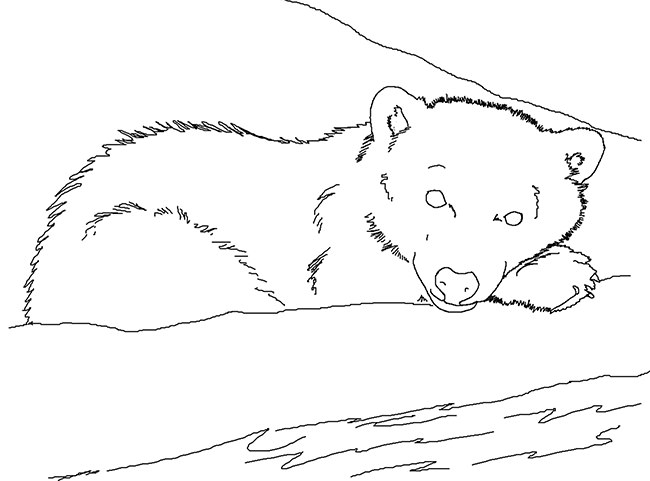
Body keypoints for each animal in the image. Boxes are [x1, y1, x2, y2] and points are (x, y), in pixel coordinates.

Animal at [24, 86, 604, 330]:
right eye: (435, 196)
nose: (456, 282)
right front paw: (562, 274)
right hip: (133, 234)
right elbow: (351, 282)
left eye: (515, 216)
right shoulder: (334, 238)